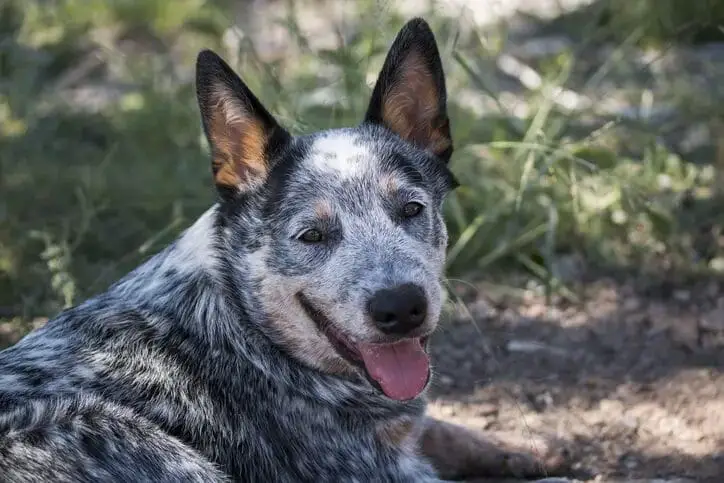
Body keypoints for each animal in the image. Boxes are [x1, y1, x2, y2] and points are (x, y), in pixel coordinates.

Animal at [0, 18, 564, 483]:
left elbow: (441, 425)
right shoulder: (382, 473)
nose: (401, 306)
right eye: (311, 236)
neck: (241, 326)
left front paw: (525, 445)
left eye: (410, 209)